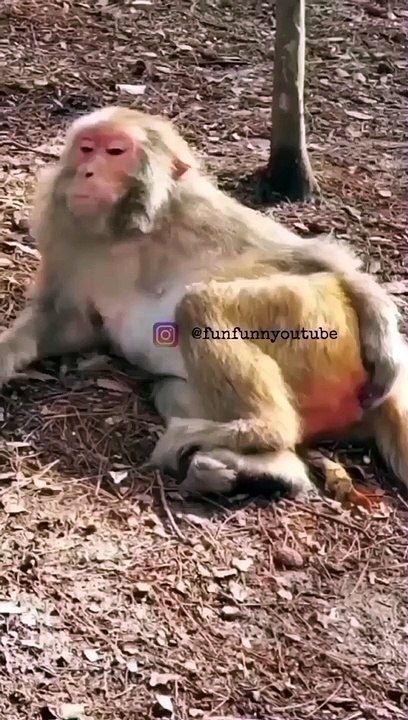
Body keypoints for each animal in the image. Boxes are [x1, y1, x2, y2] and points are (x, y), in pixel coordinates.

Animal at [0, 105, 406, 502]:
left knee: (201, 302)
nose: (87, 172)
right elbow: (70, 322)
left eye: (115, 151)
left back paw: (263, 427)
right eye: (86, 148)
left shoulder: (199, 209)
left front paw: (380, 324)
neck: (127, 233)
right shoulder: (63, 233)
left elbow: (307, 256)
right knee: (169, 387)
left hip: (320, 319)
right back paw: (266, 472)